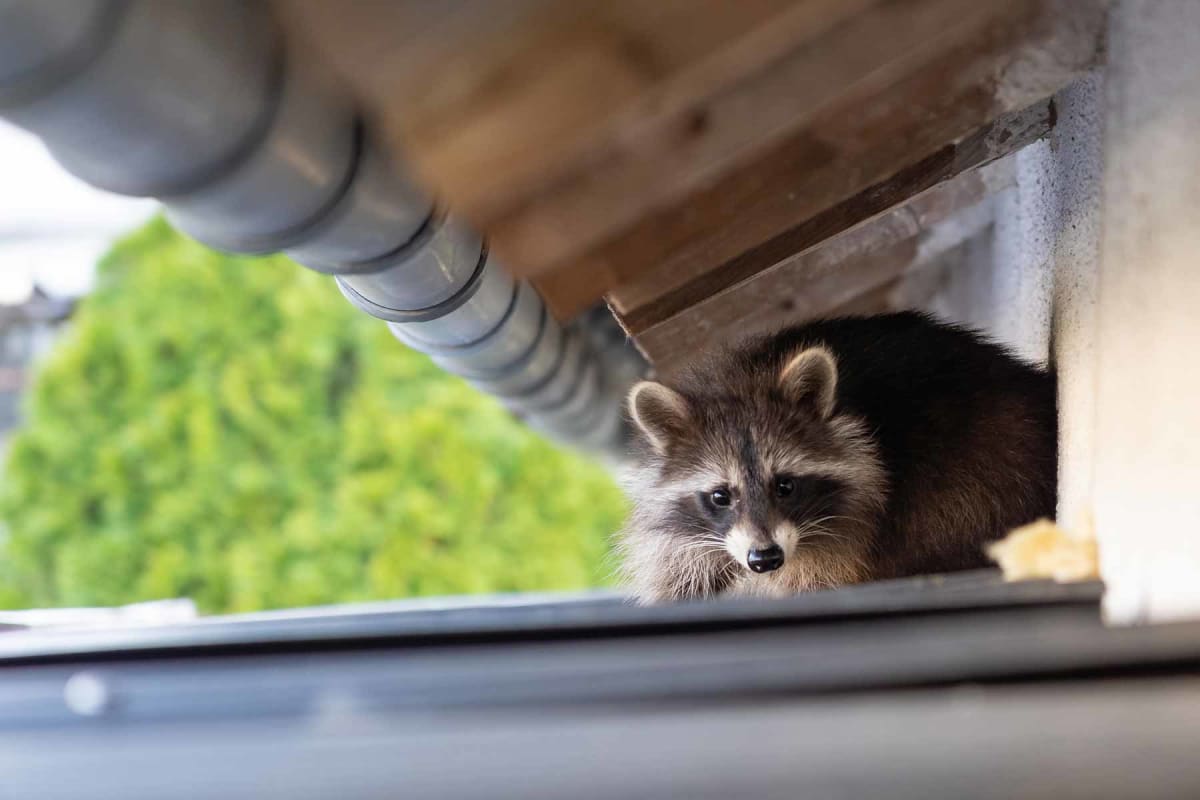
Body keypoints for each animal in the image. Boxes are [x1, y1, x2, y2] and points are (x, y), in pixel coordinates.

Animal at [619, 309, 1060, 604]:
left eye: (785, 485)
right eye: (720, 496)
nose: (765, 558)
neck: (742, 379)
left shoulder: (855, 527)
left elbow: (821, 575)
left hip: (985, 463)